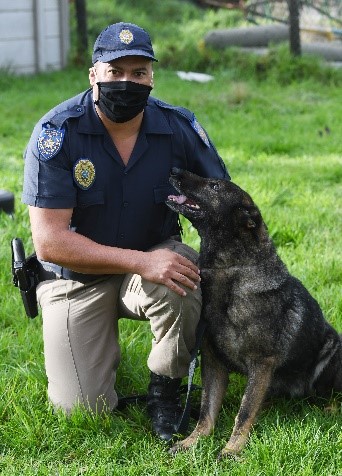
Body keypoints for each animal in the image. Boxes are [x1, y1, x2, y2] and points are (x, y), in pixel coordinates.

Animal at [166, 169, 342, 460]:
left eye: (214, 186)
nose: (175, 171)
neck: (230, 270)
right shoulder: (213, 362)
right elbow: (206, 411)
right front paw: (193, 441)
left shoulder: (261, 363)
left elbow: (245, 410)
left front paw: (231, 449)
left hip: (332, 347)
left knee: (330, 394)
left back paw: (328, 410)